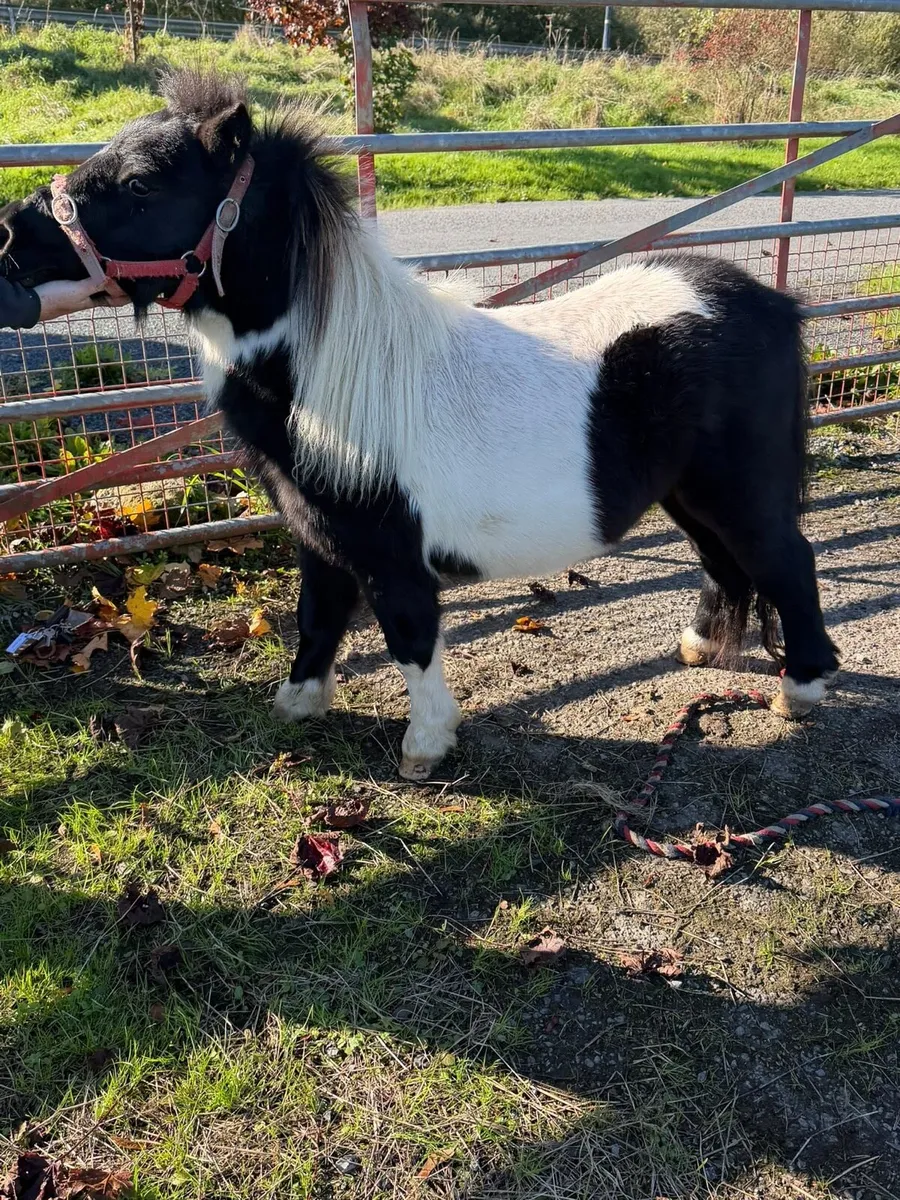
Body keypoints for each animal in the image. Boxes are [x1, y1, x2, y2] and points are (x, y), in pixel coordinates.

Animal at [0, 71, 839, 781]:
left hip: (739, 491)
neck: (337, 377)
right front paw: (298, 705)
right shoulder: (318, 538)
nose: (10, 238)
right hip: (687, 493)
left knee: (783, 562)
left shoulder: (391, 553)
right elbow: (316, 618)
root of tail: (771, 304)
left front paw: (426, 745)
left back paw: (800, 691)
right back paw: (700, 647)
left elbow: (408, 637)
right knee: (726, 563)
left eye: (141, 184)